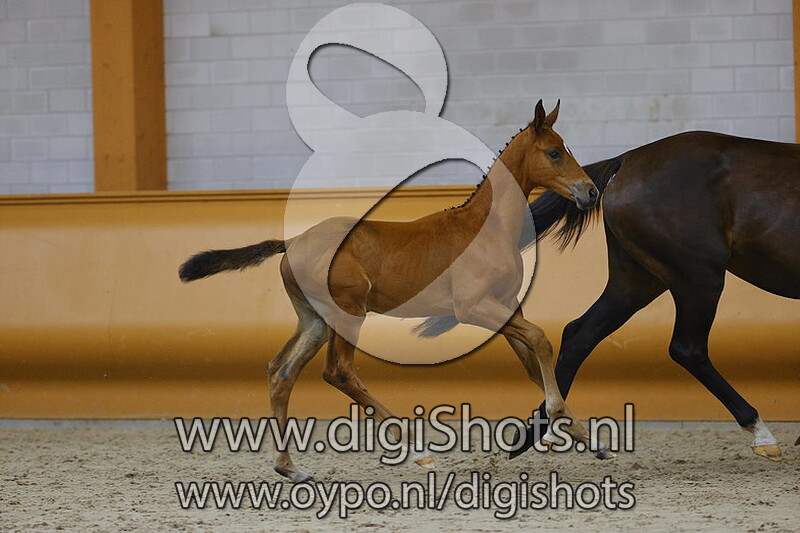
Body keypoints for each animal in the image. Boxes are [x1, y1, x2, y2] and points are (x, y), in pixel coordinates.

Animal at [179, 100, 600, 482]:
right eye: (554, 152)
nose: (591, 192)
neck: (487, 227)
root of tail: (293, 242)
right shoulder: (474, 308)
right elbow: (541, 340)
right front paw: (561, 420)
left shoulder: (507, 307)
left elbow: (531, 361)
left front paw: (585, 436)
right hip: (349, 313)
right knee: (339, 372)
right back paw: (417, 450)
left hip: (316, 321)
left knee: (281, 371)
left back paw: (289, 467)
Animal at [507, 130, 800, 461]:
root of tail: (626, 159)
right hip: (698, 277)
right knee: (687, 349)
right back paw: (760, 431)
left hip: (636, 280)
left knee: (579, 334)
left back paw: (552, 430)